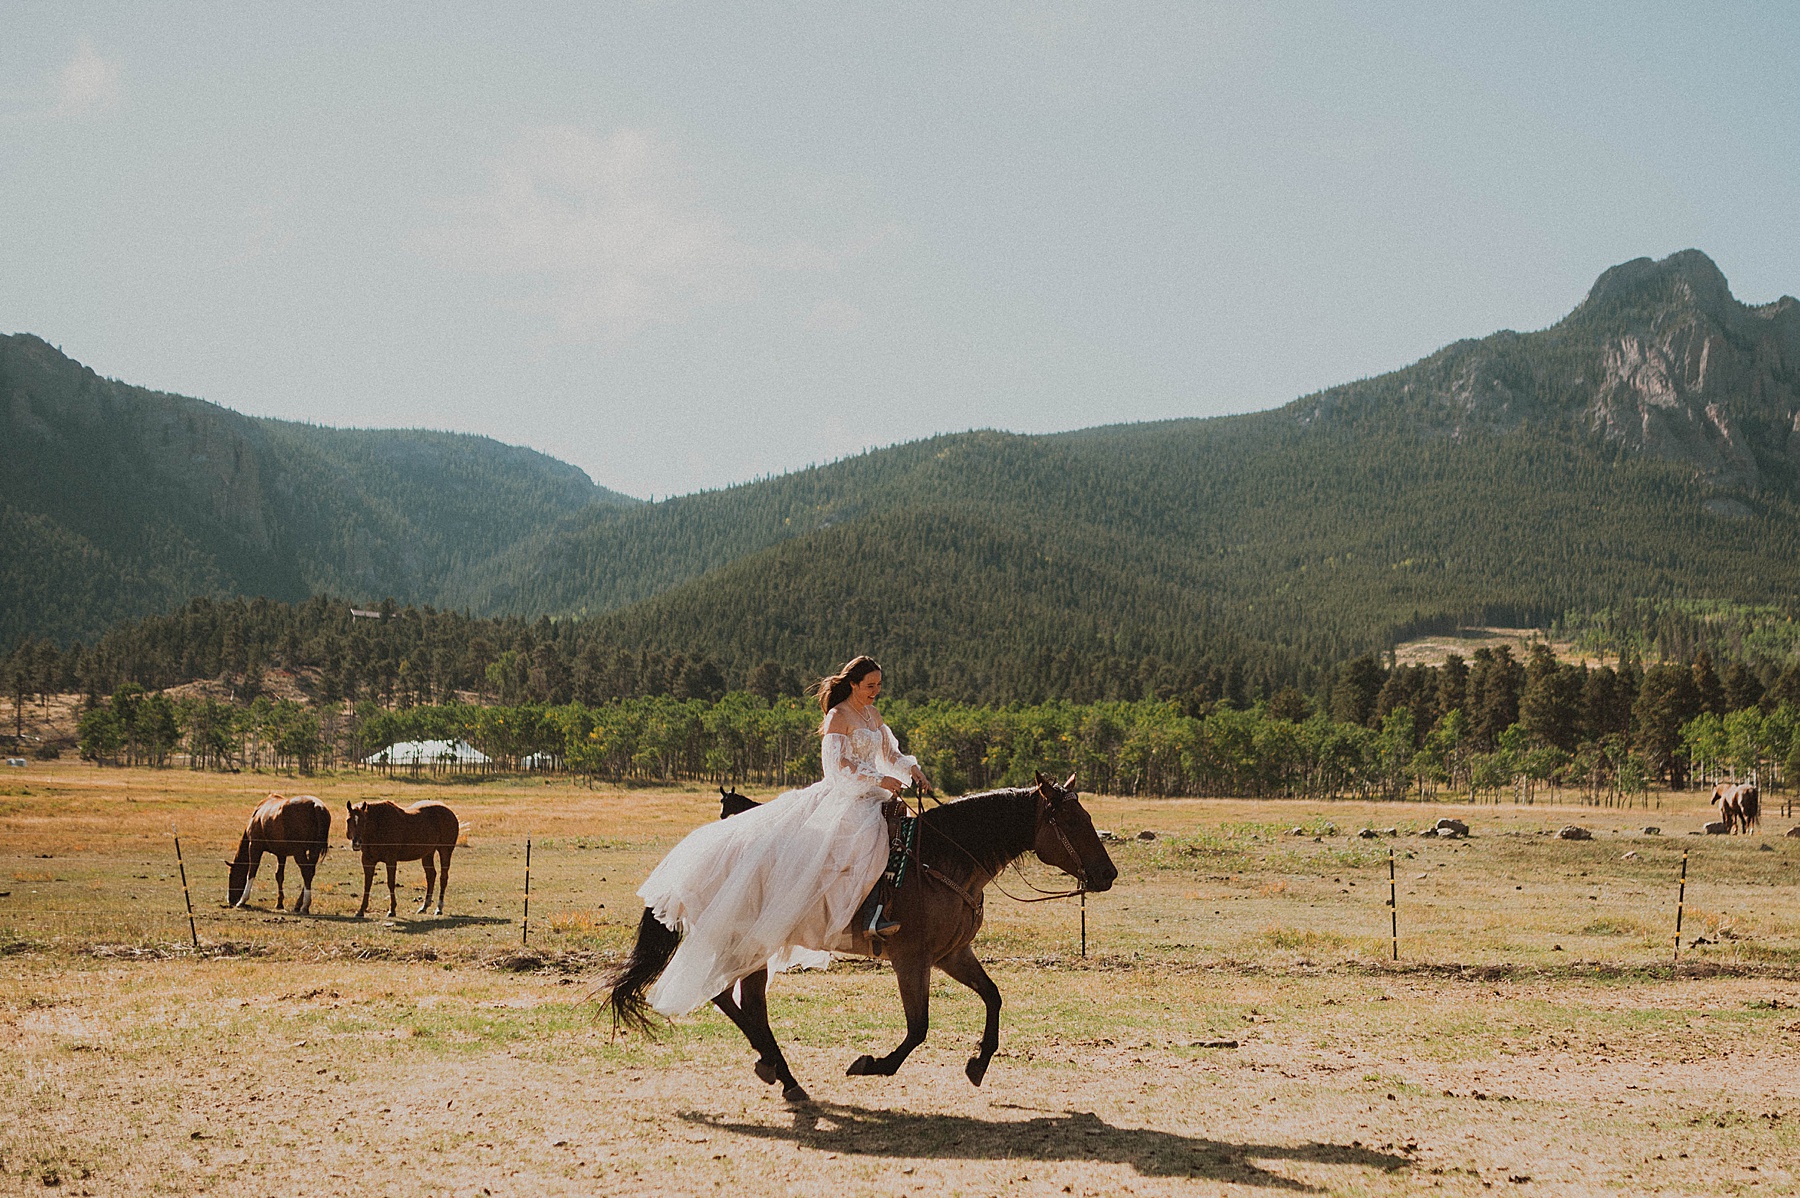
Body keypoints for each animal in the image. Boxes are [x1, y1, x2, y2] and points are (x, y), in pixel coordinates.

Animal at [604, 773, 1108, 1100]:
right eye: (1073, 822)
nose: (1108, 873)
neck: (943, 857)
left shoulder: (952, 954)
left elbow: (993, 997)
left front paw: (978, 1063)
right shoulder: (912, 959)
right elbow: (918, 1027)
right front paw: (873, 1065)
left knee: (736, 999)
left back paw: (777, 1070)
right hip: (748, 942)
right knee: (736, 999)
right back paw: (783, 1073)